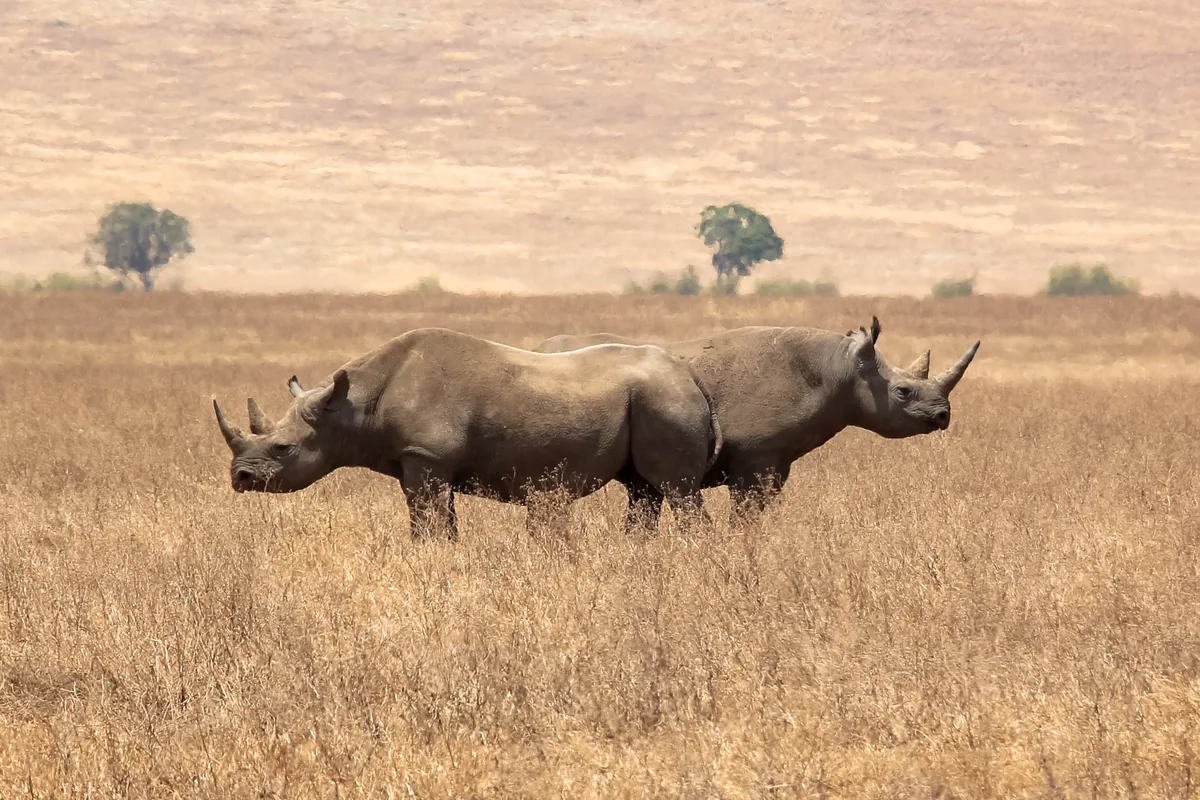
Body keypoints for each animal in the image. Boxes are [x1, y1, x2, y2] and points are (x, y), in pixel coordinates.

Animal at [213, 327, 722, 539]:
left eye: (282, 447)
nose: (240, 478)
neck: (352, 405)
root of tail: (692, 377)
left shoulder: (425, 457)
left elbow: (427, 519)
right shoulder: (426, 462)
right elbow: (439, 519)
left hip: (665, 402)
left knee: (676, 489)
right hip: (655, 399)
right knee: (642, 489)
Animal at [535, 317, 979, 524]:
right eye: (903, 392)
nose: (943, 416)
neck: (840, 371)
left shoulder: (774, 463)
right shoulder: (756, 461)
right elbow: (745, 518)